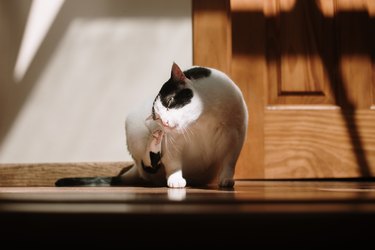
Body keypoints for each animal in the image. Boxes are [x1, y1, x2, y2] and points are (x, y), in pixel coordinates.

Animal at [55, 62, 248, 188]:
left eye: (170, 101)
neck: (202, 120)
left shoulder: (236, 136)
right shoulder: (172, 144)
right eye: (158, 118)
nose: (164, 123)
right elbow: (172, 163)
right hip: (133, 129)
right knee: (148, 165)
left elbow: (229, 161)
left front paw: (226, 180)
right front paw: (175, 179)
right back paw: (154, 143)